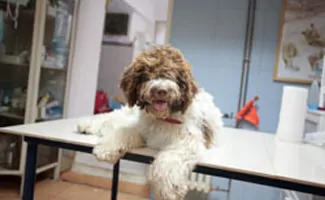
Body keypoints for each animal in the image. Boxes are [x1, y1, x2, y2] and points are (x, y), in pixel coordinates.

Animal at [76, 45, 223, 200]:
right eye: (147, 75)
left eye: (171, 74)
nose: (161, 90)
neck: (164, 118)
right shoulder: (142, 129)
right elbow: (124, 131)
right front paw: (106, 148)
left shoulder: (190, 140)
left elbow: (170, 157)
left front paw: (168, 187)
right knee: (112, 117)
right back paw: (86, 124)